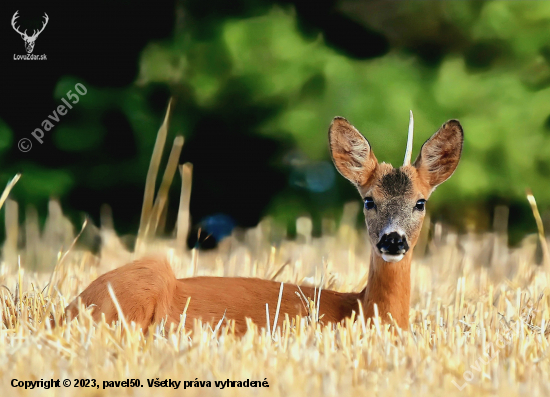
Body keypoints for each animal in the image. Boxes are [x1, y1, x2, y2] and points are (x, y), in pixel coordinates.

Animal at [62, 113, 464, 336]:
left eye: (420, 202)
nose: (393, 240)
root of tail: (65, 311)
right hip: (145, 278)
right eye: (369, 201)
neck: (361, 309)